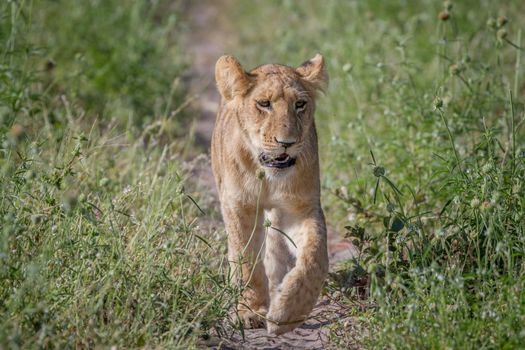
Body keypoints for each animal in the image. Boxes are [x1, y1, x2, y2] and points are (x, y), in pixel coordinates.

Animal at [210, 53, 328, 334]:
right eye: (264, 104)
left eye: (300, 104)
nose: (287, 142)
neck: (268, 176)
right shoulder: (238, 206)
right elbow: (245, 259)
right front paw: (250, 312)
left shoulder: (300, 208)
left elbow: (315, 257)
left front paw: (287, 314)